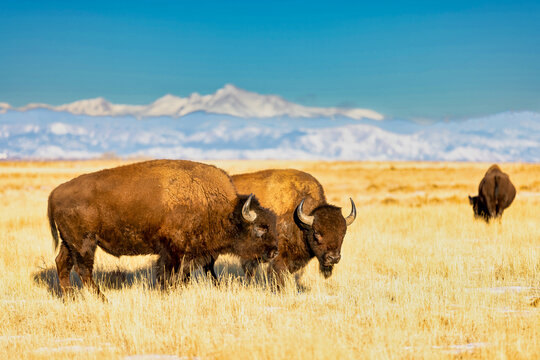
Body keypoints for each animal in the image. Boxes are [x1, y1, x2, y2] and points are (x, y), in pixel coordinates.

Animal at [46, 160, 278, 298]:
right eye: (260, 227)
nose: (274, 251)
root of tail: (55, 192)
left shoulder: (191, 255)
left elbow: (184, 275)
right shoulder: (172, 251)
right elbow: (167, 275)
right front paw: (165, 294)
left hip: (70, 243)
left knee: (63, 264)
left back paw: (69, 298)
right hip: (85, 243)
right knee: (83, 269)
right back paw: (102, 299)